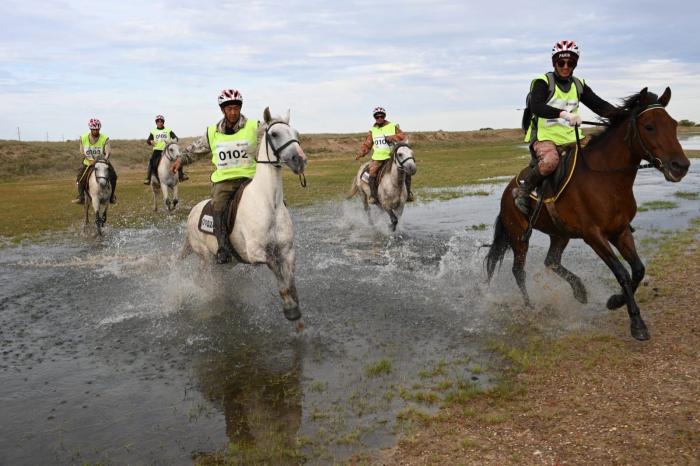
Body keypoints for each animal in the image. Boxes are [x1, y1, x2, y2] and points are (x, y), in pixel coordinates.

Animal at [182, 108, 308, 322]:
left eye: (296, 134)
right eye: (275, 134)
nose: (299, 160)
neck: (269, 203)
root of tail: (193, 213)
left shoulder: (287, 250)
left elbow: (289, 277)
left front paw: (294, 302)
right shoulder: (256, 252)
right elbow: (276, 269)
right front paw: (289, 306)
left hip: (225, 263)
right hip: (207, 259)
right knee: (204, 279)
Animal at [486, 87, 688, 340]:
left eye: (673, 124)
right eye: (649, 126)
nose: (681, 166)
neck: (605, 178)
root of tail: (508, 191)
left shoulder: (620, 231)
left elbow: (638, 270)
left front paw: (615, 301)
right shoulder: (594, 236)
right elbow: (622, 272)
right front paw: (636, 323)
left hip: (559, 234)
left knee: (551, 261)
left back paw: (579, 290)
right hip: (518, 236)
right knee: (519, 271)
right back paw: (530, 307)